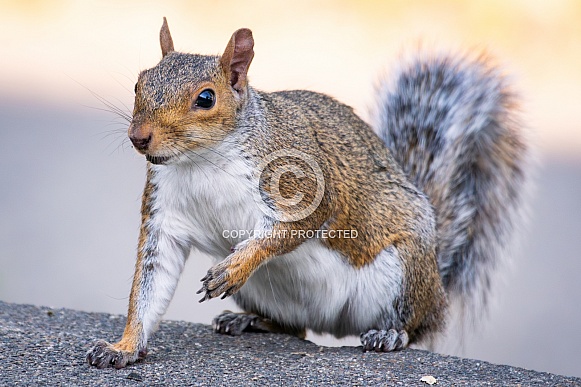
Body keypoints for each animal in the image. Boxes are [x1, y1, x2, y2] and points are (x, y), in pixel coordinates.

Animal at [85, 18, 524, 370]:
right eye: (139, 83)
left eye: (205, 98)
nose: (139, 137)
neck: (203, 160)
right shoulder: (165, 216)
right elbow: (148, 286)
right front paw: (123, 347)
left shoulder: (302, 182)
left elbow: (294, 227)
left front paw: (234, 266)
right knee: (295, 329)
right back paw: (251, 321)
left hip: (405, 270)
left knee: (416, 326)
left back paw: (390, 334)